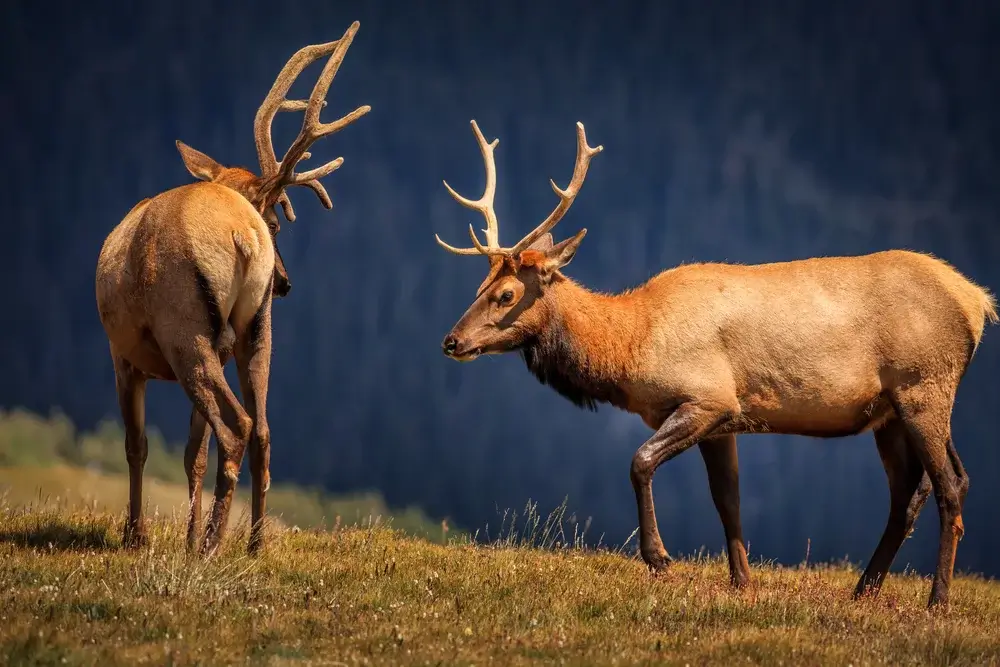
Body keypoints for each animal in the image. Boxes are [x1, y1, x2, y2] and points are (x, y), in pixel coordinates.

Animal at [96, 20, 372, 556]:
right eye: (278, 223)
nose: (285, 282)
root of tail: (241, 237)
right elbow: (192, 454)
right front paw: (180, 535)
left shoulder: (124, 356)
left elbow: (138, 446)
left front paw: (136, 535)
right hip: (255, 331)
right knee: (262, 430)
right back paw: (253, 543)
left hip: (184, 330)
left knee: (237, 427)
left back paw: (209, 546)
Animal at [438, 117, 1000, 608]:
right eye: (479, 286)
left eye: (507, 294)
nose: (450, 341)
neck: (632, 345)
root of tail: (978, 302)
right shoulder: (727, 419)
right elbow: (727, 499)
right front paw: (742, 582)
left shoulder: (708, 397)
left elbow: (640, 461)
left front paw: (659, 559)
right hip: (892, 411)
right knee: (915, 491)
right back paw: (865, 590)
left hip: (923, 386)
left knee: (949, 487)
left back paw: (937, 599)